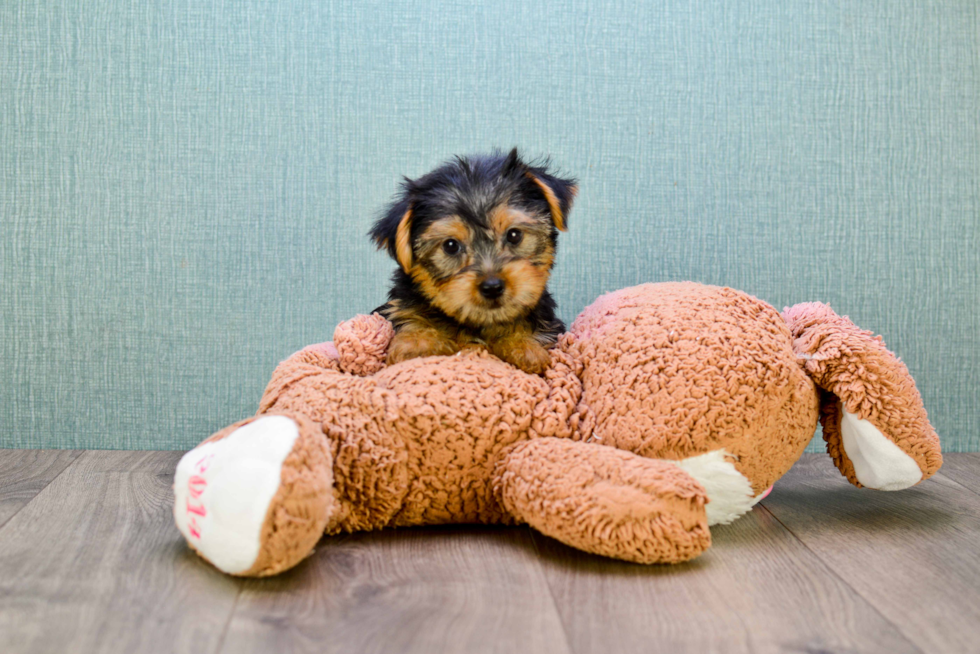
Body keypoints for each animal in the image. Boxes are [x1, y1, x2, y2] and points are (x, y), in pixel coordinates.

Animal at [372, 149, 580, 374]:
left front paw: (523, 346)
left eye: (514, 235)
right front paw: (416, 343)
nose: (492, 287)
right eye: (451, 246)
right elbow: (414, 321)